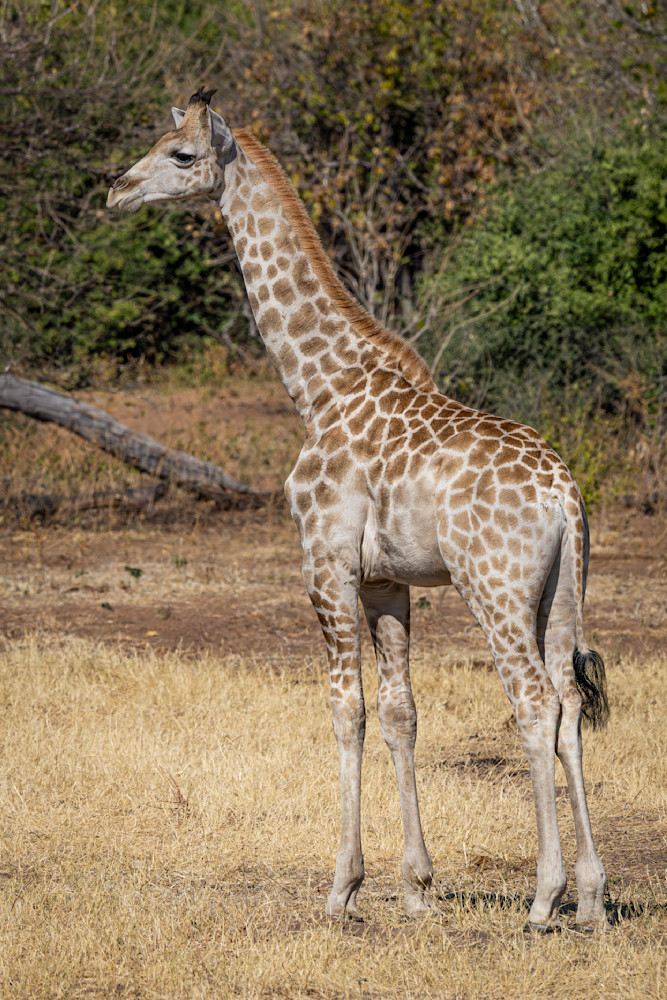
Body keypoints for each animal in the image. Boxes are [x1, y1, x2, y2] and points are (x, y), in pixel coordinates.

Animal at [107, 88, 609, 931]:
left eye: (181, 155)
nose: (116, 190)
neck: (319, 386)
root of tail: (563, 494)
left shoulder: (325, 563)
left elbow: (348, 710)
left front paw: (341, 888)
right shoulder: (386, 581)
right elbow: (402, 712)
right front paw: (415, 889)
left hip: (494, 588)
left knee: (534, 704)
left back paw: (544, 899)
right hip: (559, 592)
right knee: (570, 703)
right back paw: (593, 897)